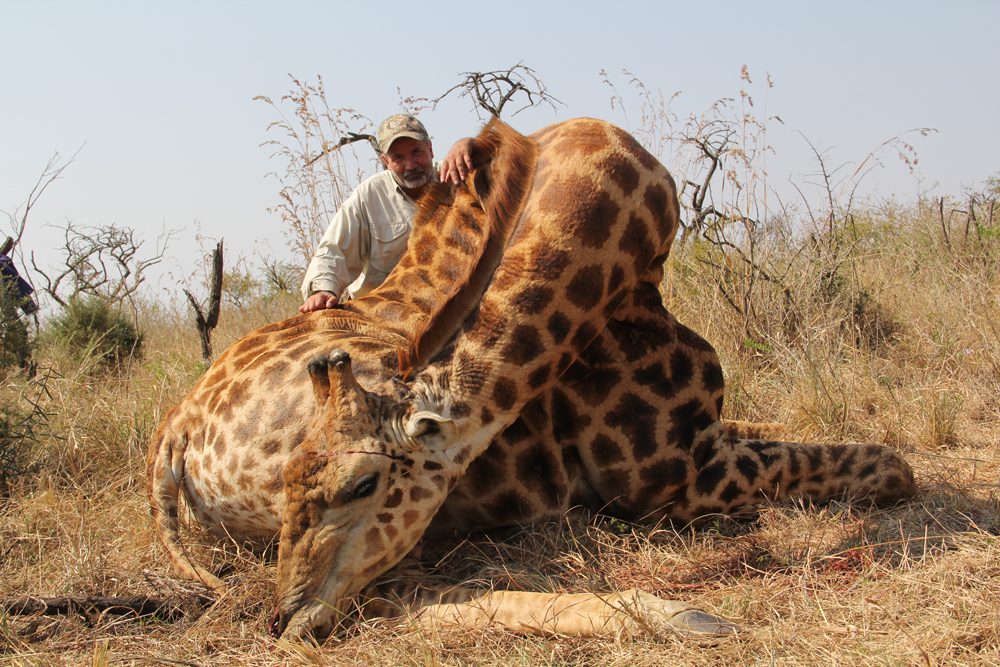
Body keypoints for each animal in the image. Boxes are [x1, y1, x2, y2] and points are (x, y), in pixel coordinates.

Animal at [147, 118, 915, 641]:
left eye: (361, 484)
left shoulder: (707, 434)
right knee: (403, 598)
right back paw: (683, 614)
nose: (285, 616)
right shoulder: (672, 474)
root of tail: (173, 437)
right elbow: (890, 464)